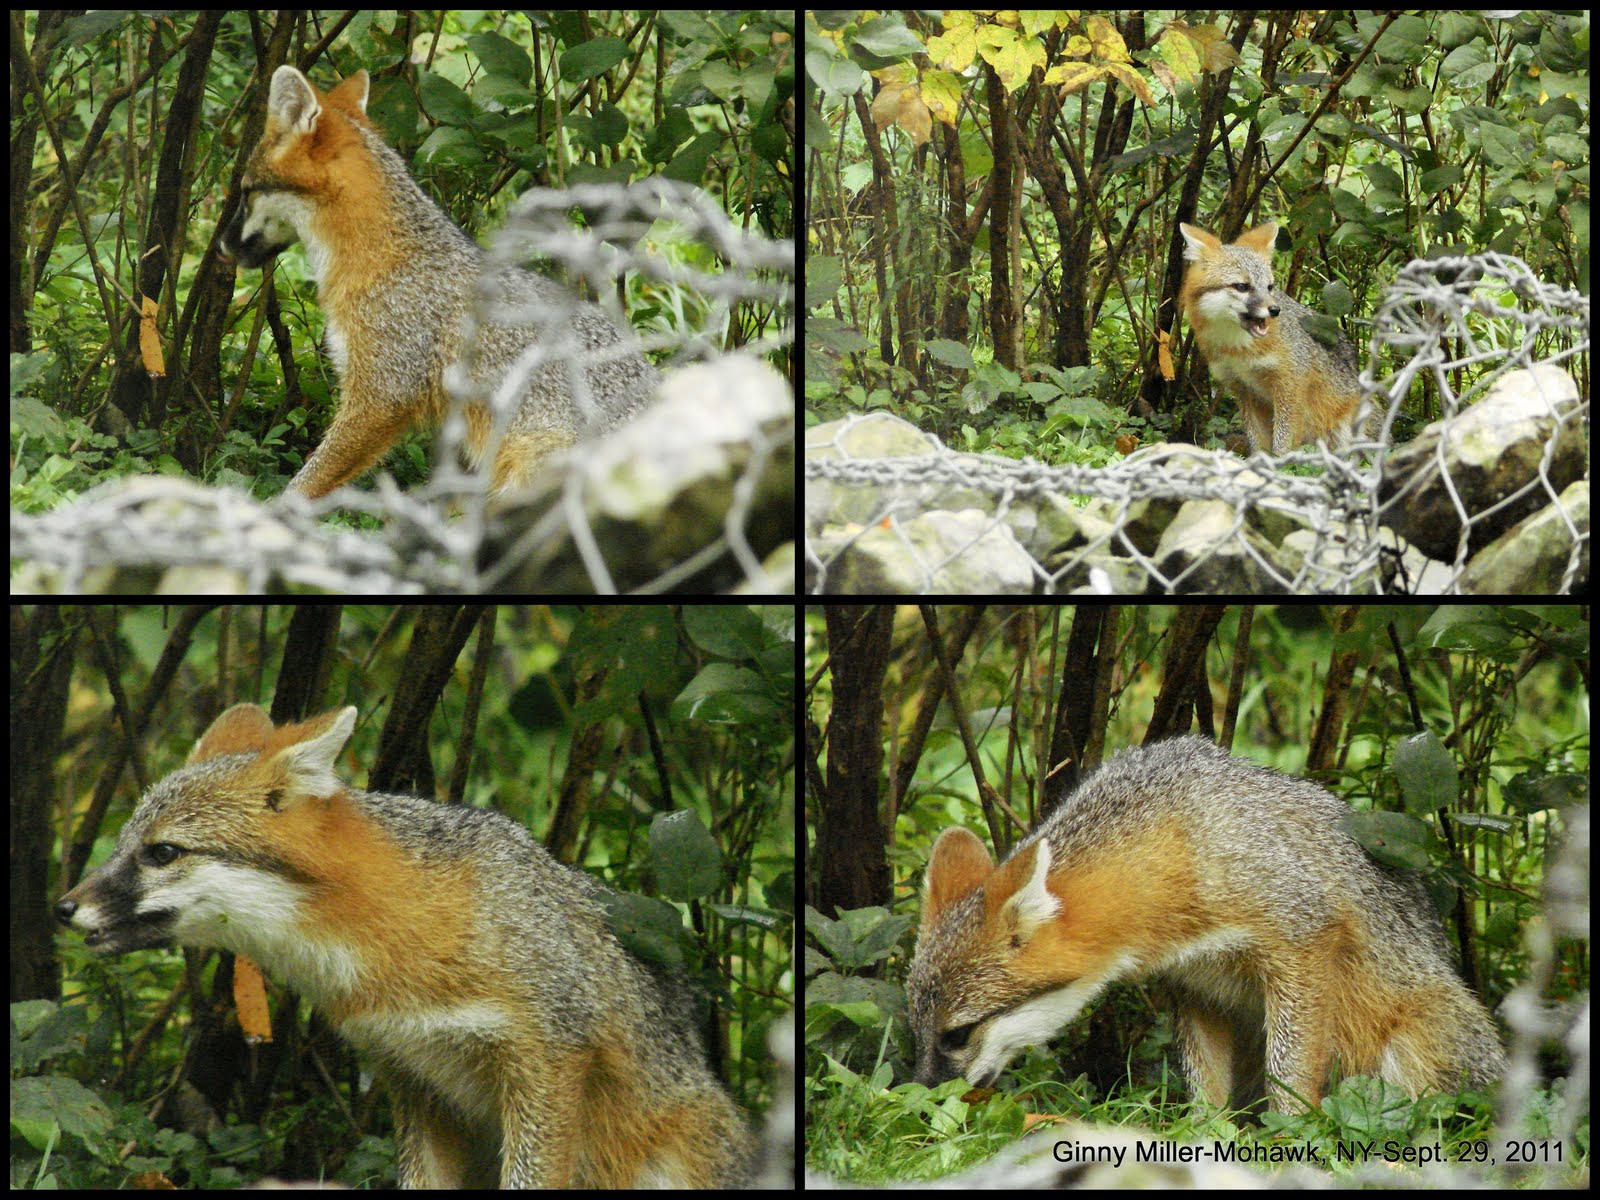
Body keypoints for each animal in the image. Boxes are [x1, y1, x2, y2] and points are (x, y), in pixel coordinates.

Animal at [906, 736, 1504, 1115]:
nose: (923, 1100)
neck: (1174, 840)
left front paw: (1289, 1140)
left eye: (957, 1035)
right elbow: (1205, 1093)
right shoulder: (1196, 985)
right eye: (918, 1029)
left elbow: (1290, 1074)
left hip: (1412, 1047)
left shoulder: (1303, 939)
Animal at [1179, 221, 1363, 455]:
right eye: (1242, 286)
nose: (1275, 310)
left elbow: (1283, 439)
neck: (1238, 350)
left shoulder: (1291, 384)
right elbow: (1257, 439)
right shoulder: (1243, 389)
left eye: (1269, 287)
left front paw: (1282, 461)